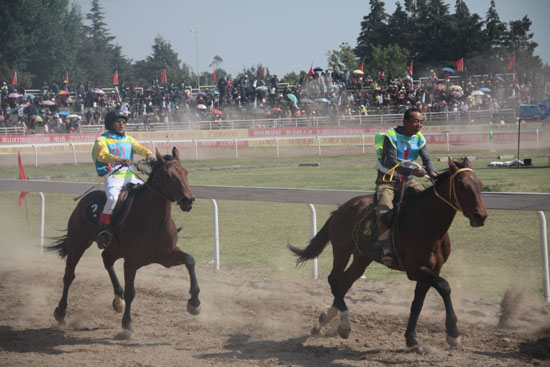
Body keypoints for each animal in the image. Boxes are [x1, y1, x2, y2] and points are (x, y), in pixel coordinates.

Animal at [48, 147, 201, 334]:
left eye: (185, 172)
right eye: (168, 175)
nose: (188, 200)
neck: (153, 221)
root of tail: (85, 200)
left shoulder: (166, 256)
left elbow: (190, 260)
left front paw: (194, 303)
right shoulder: (131, 261)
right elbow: (130, 292)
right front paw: (127, 323)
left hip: (114, 249)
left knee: (106, 259)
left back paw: (117, 299)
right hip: (78, 243)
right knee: (69, 275)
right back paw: (61, 311)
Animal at [288, 158, 488, 350]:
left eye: (479, 184)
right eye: (462, 185)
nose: (481, 216)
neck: (427, 222)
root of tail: (342, 208)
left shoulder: (432, 269)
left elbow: (418, 303)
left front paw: (411, 339)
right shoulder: (415, 269)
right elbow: (444, 287)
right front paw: (453, 334)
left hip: (362, 257)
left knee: (346, 280)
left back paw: (324, 320)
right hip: (341, 250)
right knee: (334, 279)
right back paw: (344, 324)